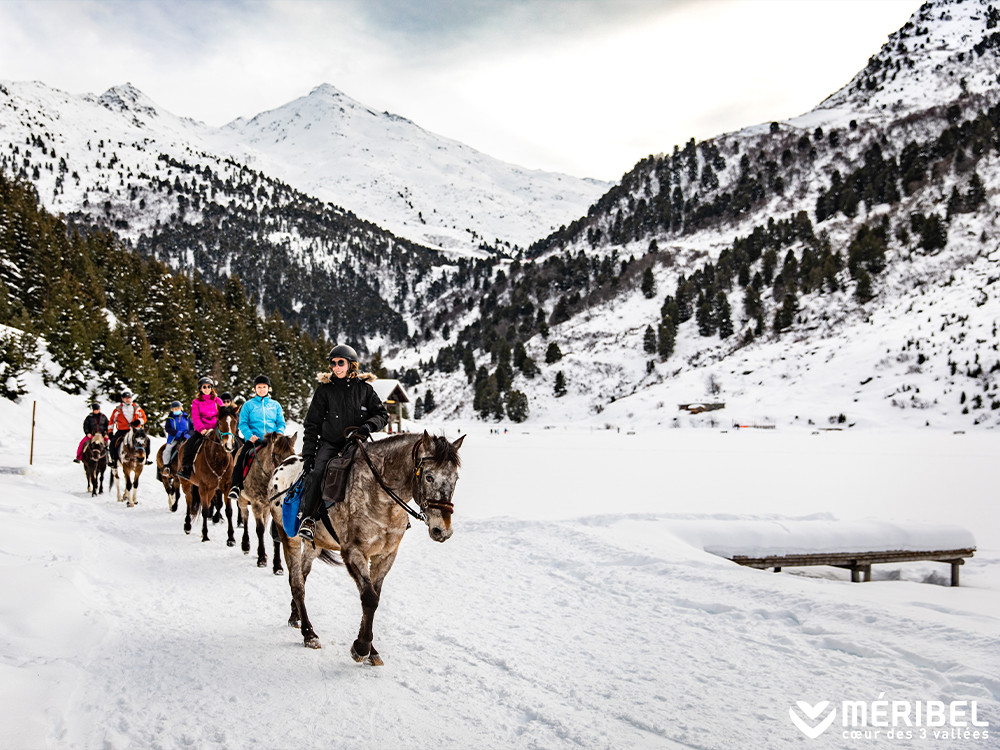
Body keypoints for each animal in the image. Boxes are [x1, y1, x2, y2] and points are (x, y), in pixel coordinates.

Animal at [177, 408, 237, 544]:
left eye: (235, 423)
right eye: (219, 423)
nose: (228, 446)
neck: (218, 459)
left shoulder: (226, 487)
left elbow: (228, 511)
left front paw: (231, 538)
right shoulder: (203, 487)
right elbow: (204, 511)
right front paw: (205, 536)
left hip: (212, 489)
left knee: (208, 502)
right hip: (186, 483)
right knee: (189, 500)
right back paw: (187, 526)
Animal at [237, 432, 298, 572]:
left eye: (293, 453)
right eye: (275, 454)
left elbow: (274, 533)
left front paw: (277, 565)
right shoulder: (256, 504)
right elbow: (259, 529)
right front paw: (261, 559)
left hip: (266, 509)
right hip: (242, 500)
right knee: (245, 517)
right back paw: (245, 545)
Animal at [268, 432, 466, 668]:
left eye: (455, 479)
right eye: (428, 477)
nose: (442, 530)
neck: (381, 495)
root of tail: (281, 467)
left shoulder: (386, 555)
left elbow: (374, 597)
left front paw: (371, 649)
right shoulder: (353, 552)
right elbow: (369, 598)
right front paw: (361, 648)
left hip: (314, 546)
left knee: (302, 577)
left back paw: (295, 616)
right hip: (290, 538)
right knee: (297, 584)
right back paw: (309, 634)